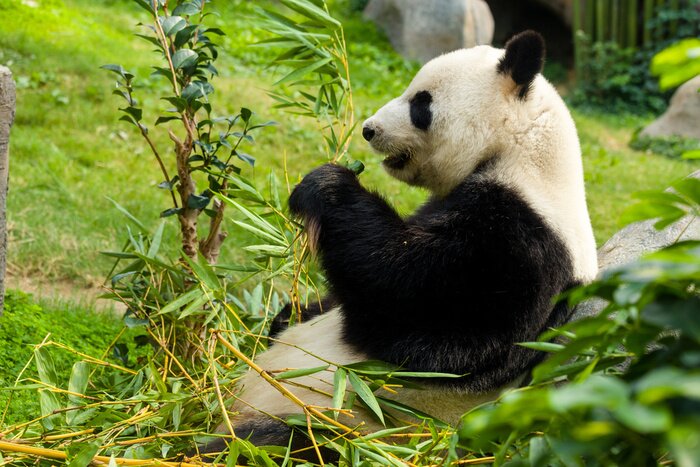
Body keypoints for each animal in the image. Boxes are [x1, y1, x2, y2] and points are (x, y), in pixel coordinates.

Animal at [200, 30, 597, 459]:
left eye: (421, 104)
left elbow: (410, 305)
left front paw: (326, 184)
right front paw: (290, 312)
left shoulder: (522, 247)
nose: (368, 129)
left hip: (343, 428)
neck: (522, 153)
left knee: (275, 444)